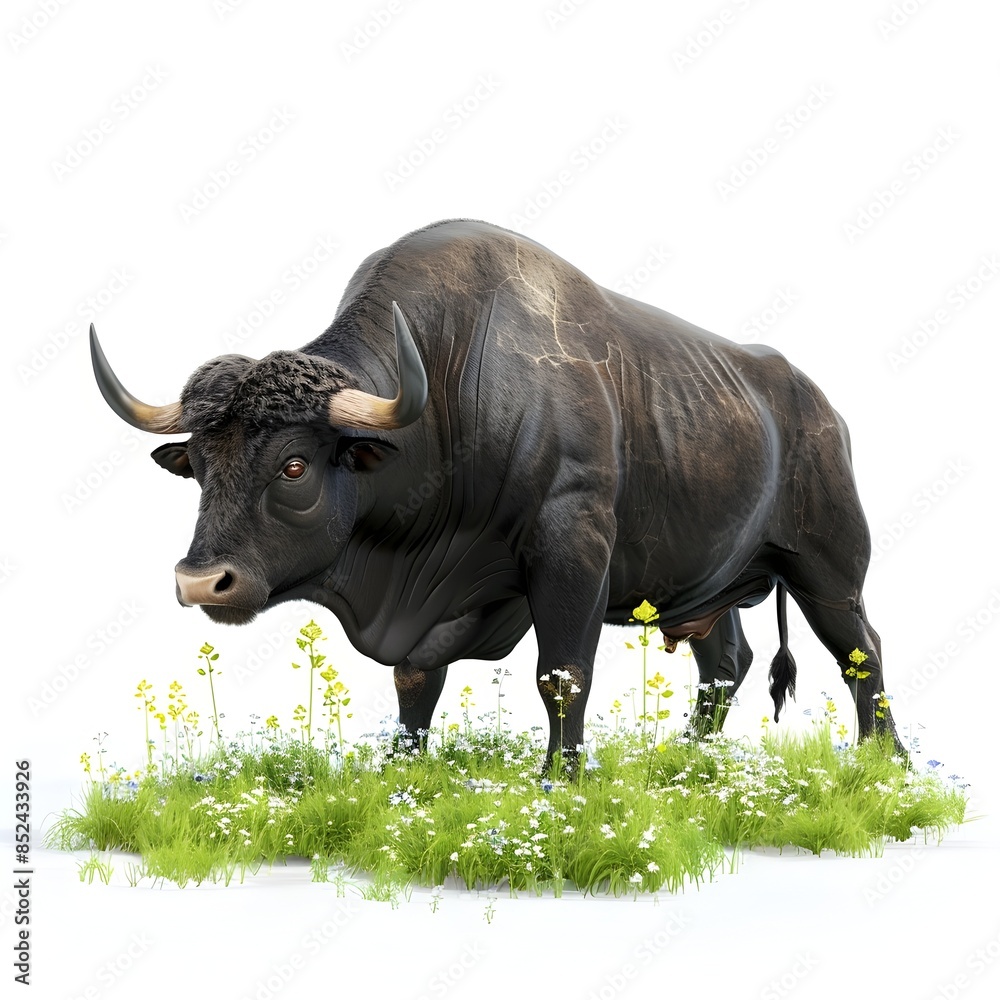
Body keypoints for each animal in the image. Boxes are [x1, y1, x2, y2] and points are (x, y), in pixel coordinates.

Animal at [90, 218, 903, 766]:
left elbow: (561, 676)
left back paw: (884, 762)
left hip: (829, 572)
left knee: (861, 652)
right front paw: (401, 774)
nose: (203, 582)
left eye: (294, 465)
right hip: (706, 587)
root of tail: (820, 408)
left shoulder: (571, 556)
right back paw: (682, 763)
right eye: (199, 464)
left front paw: (559, 782)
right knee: (724, 664)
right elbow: (415, 686)